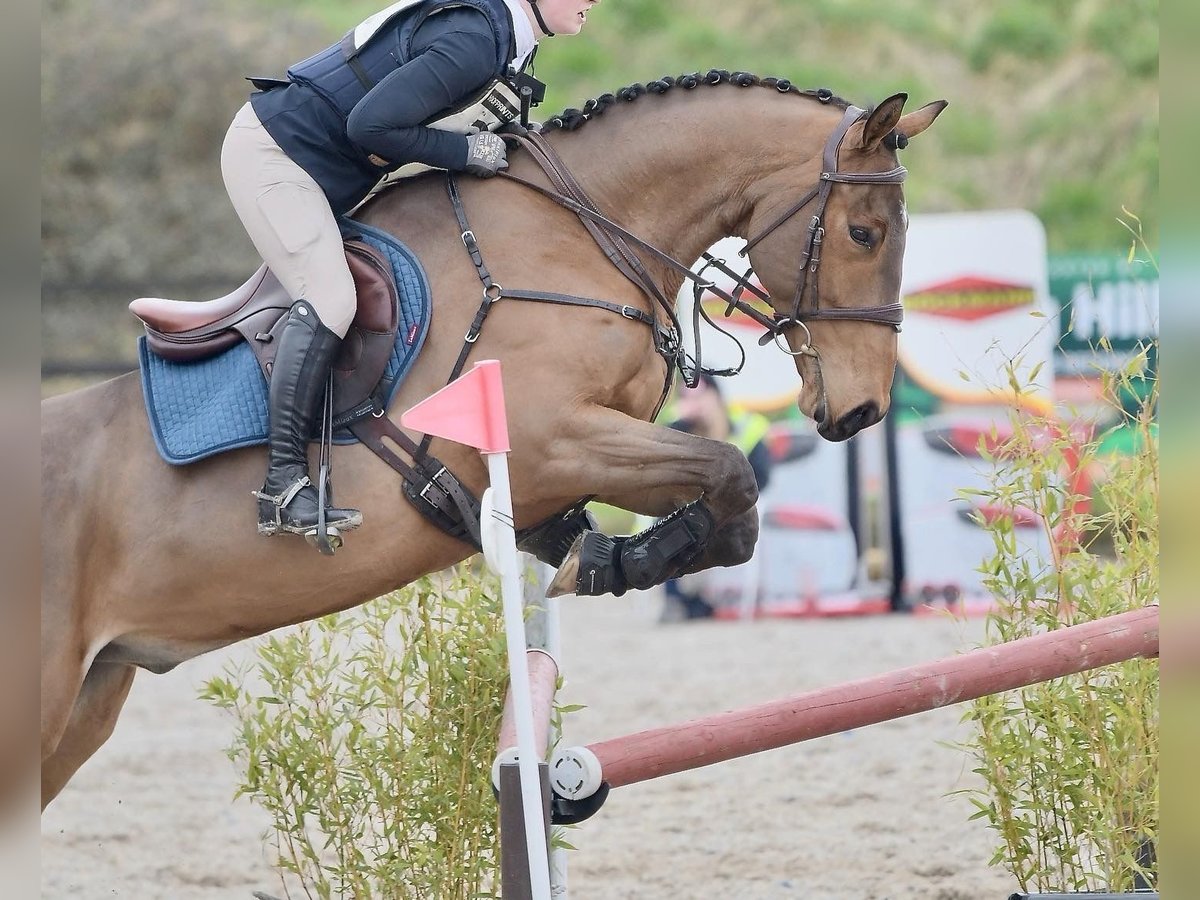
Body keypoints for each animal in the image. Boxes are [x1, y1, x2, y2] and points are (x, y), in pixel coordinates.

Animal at [39, 68, 945, 801]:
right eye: (864, 233)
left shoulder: (572, 459)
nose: (862, 409)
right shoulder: (550, 442)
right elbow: (729, 473)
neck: (579, 234)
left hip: (88, 701)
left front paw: (610, 559)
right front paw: (617, 561)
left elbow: (729, 510)